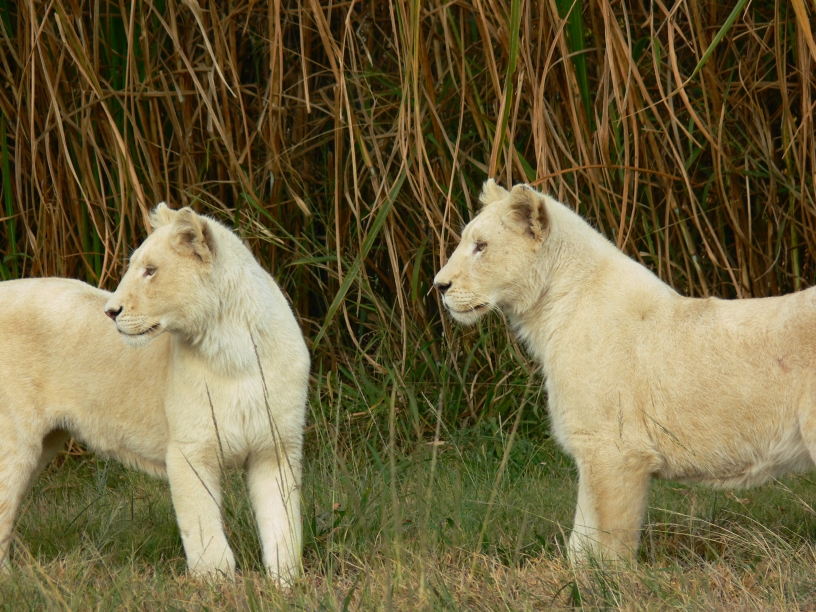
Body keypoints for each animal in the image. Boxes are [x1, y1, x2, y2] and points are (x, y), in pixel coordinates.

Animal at [0, 204, 310, 582]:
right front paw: (216, 584)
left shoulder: (276, 447)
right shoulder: (189, 451)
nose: (110, 311)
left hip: (42, 445)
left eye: (150, 271)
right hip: (14, 440)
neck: (232, 350)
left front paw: (287, 583)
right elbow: (204, 530)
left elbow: (282, 523)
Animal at [434, 180, 816, 562]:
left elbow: (606, 536)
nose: (439, 286)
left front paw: (606, 578)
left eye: (481, 246)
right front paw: (573, 571)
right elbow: (581, 536)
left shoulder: (614, 448)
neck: (551, 311)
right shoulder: (594, 449)